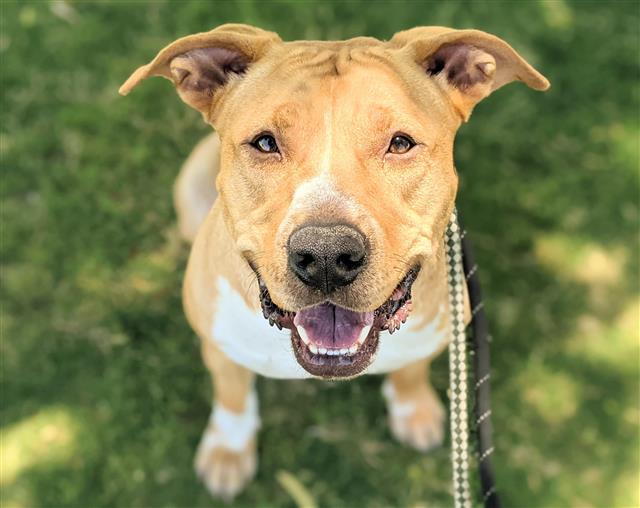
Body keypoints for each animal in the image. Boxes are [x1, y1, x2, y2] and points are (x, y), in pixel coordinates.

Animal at [121, 24, 552, 500]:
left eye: (400, 143)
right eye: (265, 142)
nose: (326, 256)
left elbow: (411, 370)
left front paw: (413, 408)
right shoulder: (222, 349)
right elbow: (233, 399)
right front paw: (228, 451)